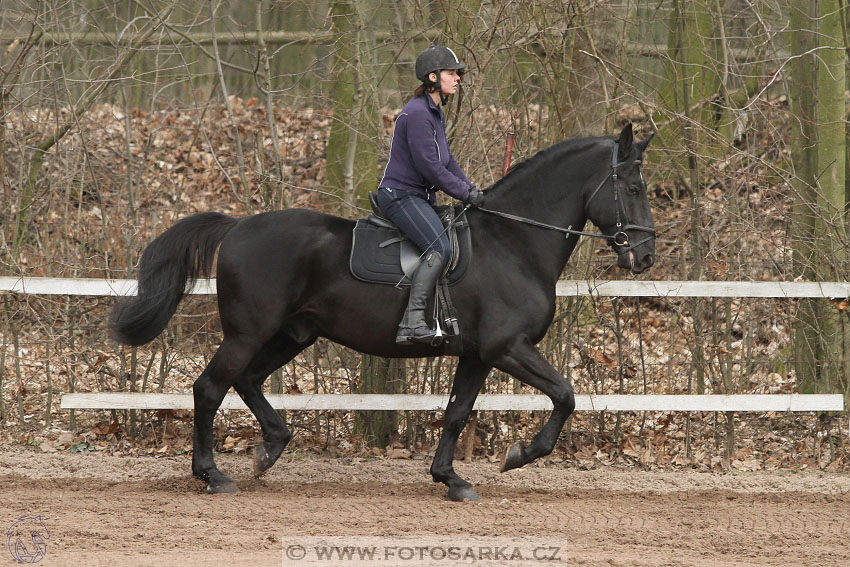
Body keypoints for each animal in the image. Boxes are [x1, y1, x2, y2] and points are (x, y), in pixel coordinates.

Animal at [109, 123, 652, 502]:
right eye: (632, 187)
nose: (644, 257)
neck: (513, 242)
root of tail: (239, 227)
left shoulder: (478, 354)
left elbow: (457, 413)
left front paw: (450, 479)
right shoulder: (507, 347)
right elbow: (565, 395)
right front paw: (518, 456)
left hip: (293, 333)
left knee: (246, 381)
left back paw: (271, 447)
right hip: (249, 332)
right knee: (210, 388)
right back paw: (213, 474)